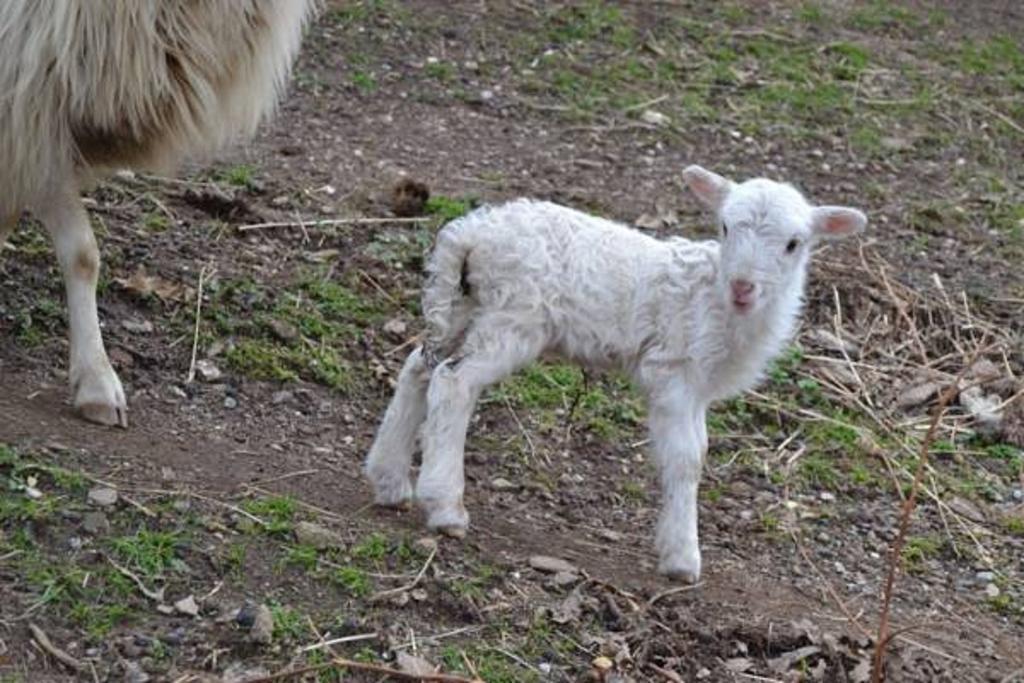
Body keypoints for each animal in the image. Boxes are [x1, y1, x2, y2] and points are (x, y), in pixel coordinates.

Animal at [366, 165, 864, 581]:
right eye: (724, 226)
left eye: (794, 243)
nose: (743, 286)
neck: (714, 299)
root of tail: (472, 232)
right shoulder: (671, 369)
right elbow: (687, 458)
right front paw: (682, 558)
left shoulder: (698, 387)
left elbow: (700, 450)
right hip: (514, 315)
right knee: (454, 382)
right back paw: (445, 506)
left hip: (463, 304)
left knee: (418, 368)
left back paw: (389, 480)